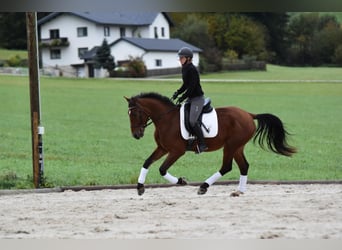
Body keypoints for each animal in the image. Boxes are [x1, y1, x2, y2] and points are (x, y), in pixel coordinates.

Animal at [124, 93, 296, 196]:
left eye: (136, 113)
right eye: (129, 114)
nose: (136, 135)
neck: (166, 119)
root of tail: (248, 114)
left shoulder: (176, 151)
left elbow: (162, 169)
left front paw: (181, 181)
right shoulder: (163, 148)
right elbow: (147, 162)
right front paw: (140, 187)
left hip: (231, 146)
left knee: (226, 167)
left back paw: (204, 186)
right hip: (237, 147)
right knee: (244, 166)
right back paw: (239, 191)